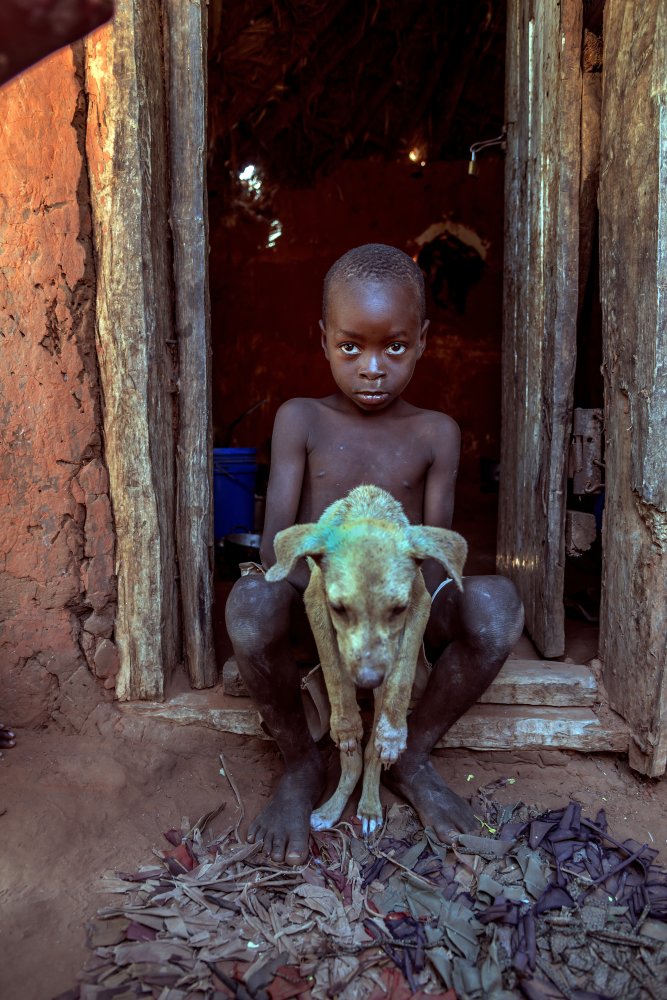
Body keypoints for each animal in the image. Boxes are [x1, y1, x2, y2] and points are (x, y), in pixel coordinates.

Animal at [264, 484, 468, 836]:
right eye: (339, 608)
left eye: (398, 609)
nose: (369, 679)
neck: (368, 512)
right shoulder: (316, 602)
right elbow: (335, 673)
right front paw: (346, 725)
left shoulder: (419, 603)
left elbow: (401, 675)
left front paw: (392, 734)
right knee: (352, 758)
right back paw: (333, 804)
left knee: (371, 752)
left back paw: (370, 802)